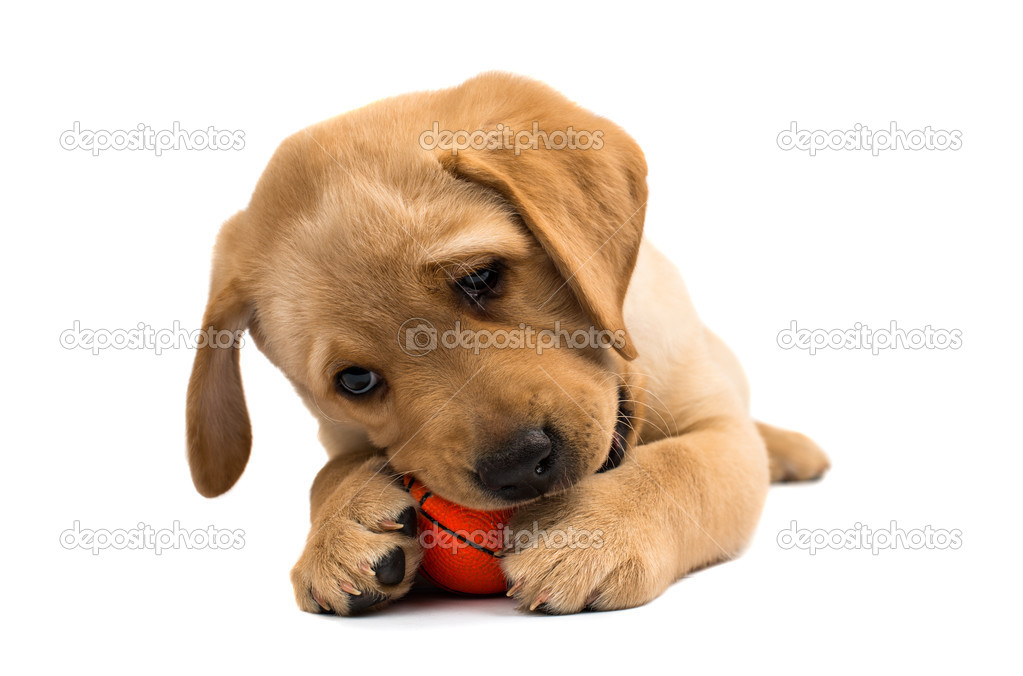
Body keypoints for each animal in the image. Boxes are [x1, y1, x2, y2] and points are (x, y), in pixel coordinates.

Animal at [184, 71, 826, 613]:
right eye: (356, 381)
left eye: (481, 277)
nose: (520, 467)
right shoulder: (339, 437)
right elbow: (328, 473)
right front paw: (338, 528)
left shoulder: (722, 432)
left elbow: (681, 468)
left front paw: (593, 530)